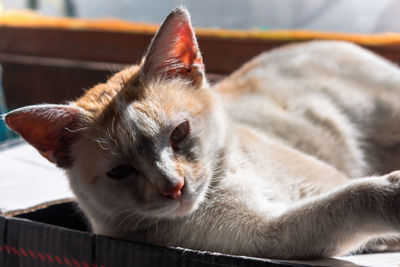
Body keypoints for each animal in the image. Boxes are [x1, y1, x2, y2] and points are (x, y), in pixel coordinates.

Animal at [3, 6, 400, 262]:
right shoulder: (270, 234)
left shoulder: (318, 182)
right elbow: (350, 198)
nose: (174, 186)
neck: (225, 185)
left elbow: (345, 192)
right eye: (120, 171)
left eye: (179, 133)